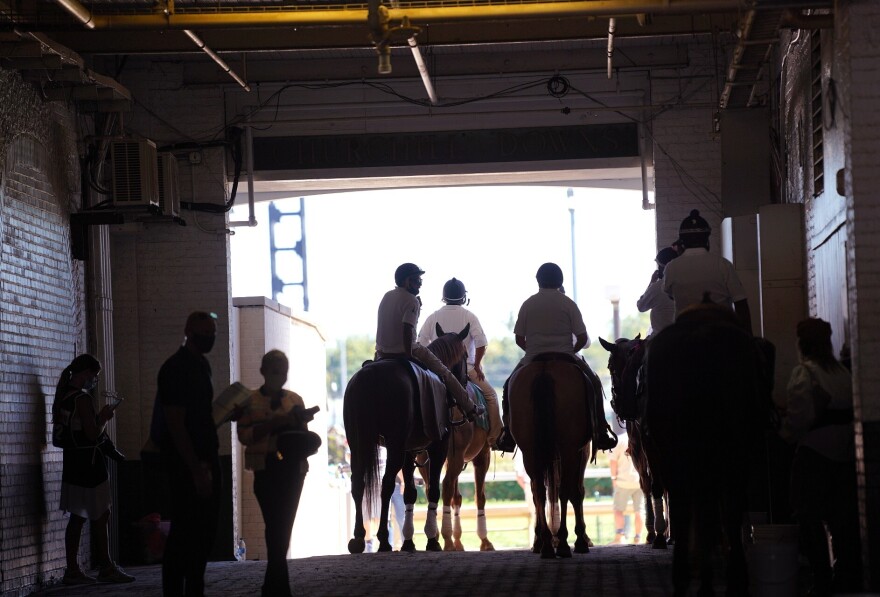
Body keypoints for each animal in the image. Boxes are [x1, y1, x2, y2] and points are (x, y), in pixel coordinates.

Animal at [342, 326, 470, 556]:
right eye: (465, 355)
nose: (466, 381)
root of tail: (368, 377)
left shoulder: (410, 451)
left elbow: (410, 492)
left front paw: (409, 541)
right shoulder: (438, 447)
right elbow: (433, 490)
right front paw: (432, 540)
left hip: (358, 443)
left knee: (358, 483)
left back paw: (357, 538)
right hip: (394, 445)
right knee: (386, 485)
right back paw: (383, 540)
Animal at [506, 354, 596, 560]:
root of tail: (544, 370)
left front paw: (540, 540)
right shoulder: (581, 452)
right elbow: (577, 492)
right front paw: (581, 539)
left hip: (531, 451)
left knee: (539, 492)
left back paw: (546, 544)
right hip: (568, 449)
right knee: (564, 490)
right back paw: (562, 543)